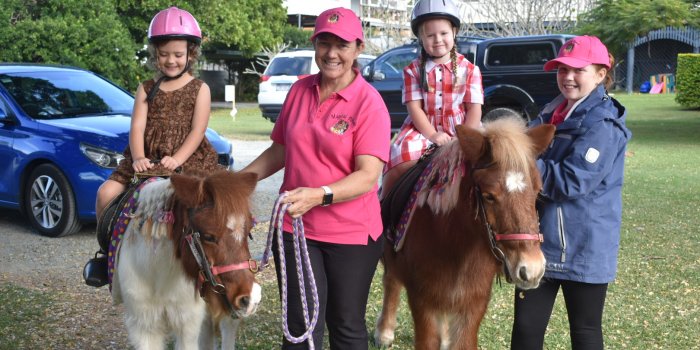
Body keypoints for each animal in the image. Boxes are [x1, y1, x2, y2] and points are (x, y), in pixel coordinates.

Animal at [112, 169, 262, 348]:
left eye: (248, 232)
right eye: (208, 236)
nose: (251, 298)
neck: (159, 276)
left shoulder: (188, 324)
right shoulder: (145, 326)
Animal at [374, 118, 556, 350]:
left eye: (538, 191)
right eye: (488, 196)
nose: (531, 269)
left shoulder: (473, 303)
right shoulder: (422, 300)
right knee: (392, 281)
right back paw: (384, 332)